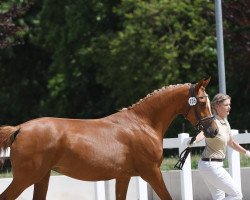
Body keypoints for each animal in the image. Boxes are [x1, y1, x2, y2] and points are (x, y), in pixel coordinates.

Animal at [0, 77, 217, 199]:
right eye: (202, 101)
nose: (213, 130)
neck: (143, 123)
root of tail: (20, 128)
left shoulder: (123, 176)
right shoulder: (152, 172)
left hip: (41, 178)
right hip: (26, 177)